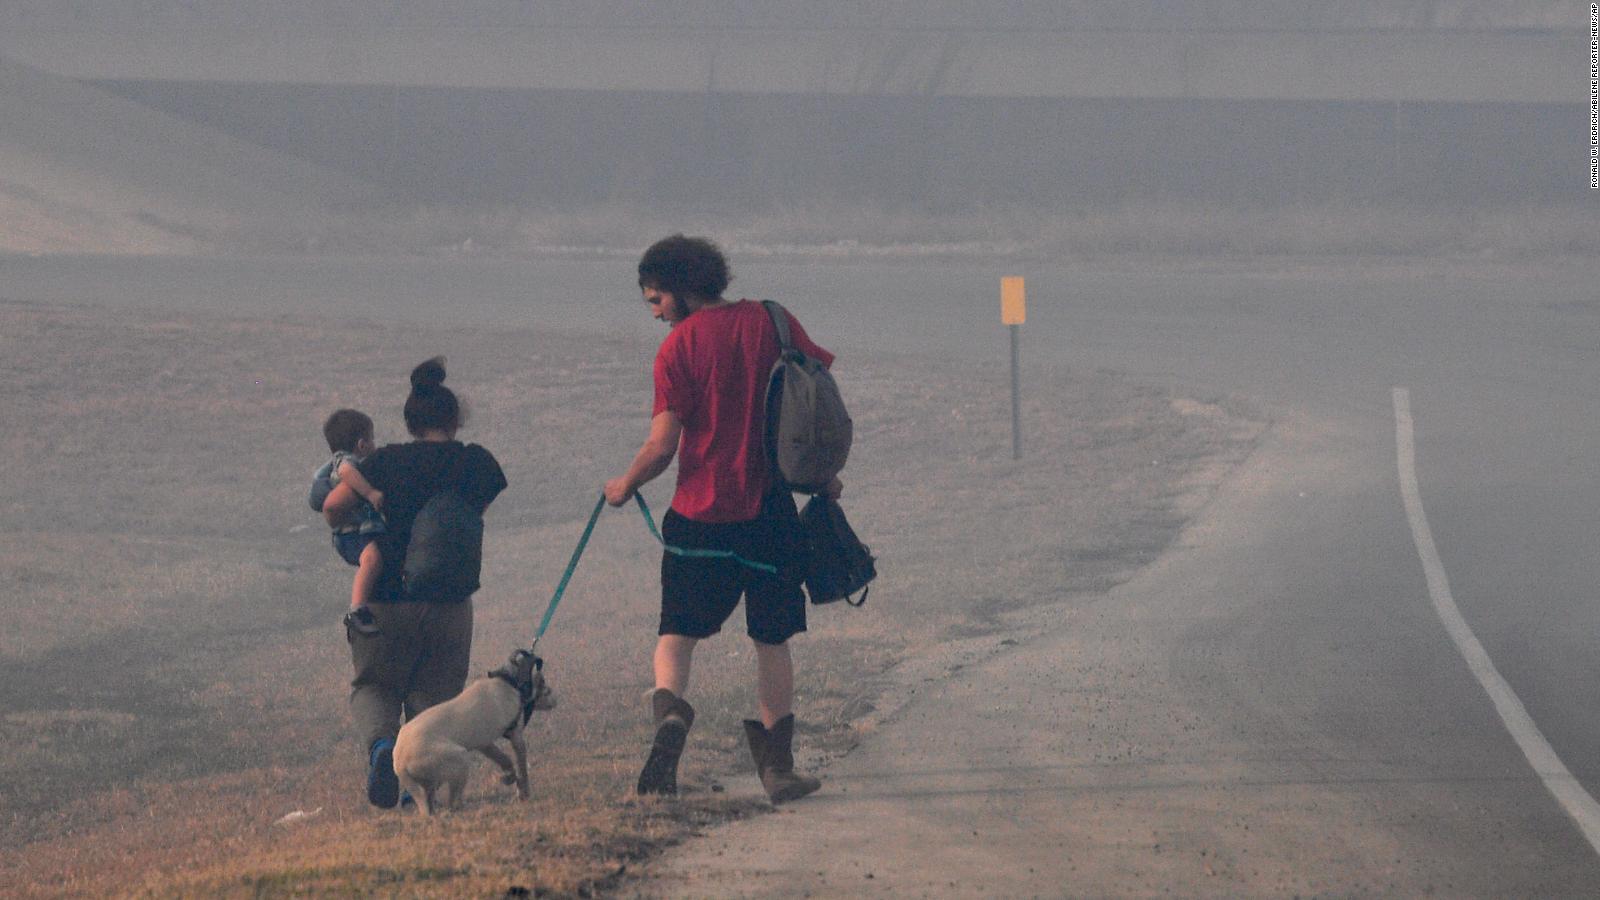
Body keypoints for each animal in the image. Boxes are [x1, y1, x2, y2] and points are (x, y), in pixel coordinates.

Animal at [392, 643, 556, 813]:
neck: (508, 681)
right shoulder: (516, 737)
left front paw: (509, 777)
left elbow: (505, 760)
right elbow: (522, 769)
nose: (555, 700)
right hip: (460, 759)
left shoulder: (485, 745)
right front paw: (523, 792)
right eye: (544, 685)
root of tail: (400, 763)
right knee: (453, 803)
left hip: (429, 782)